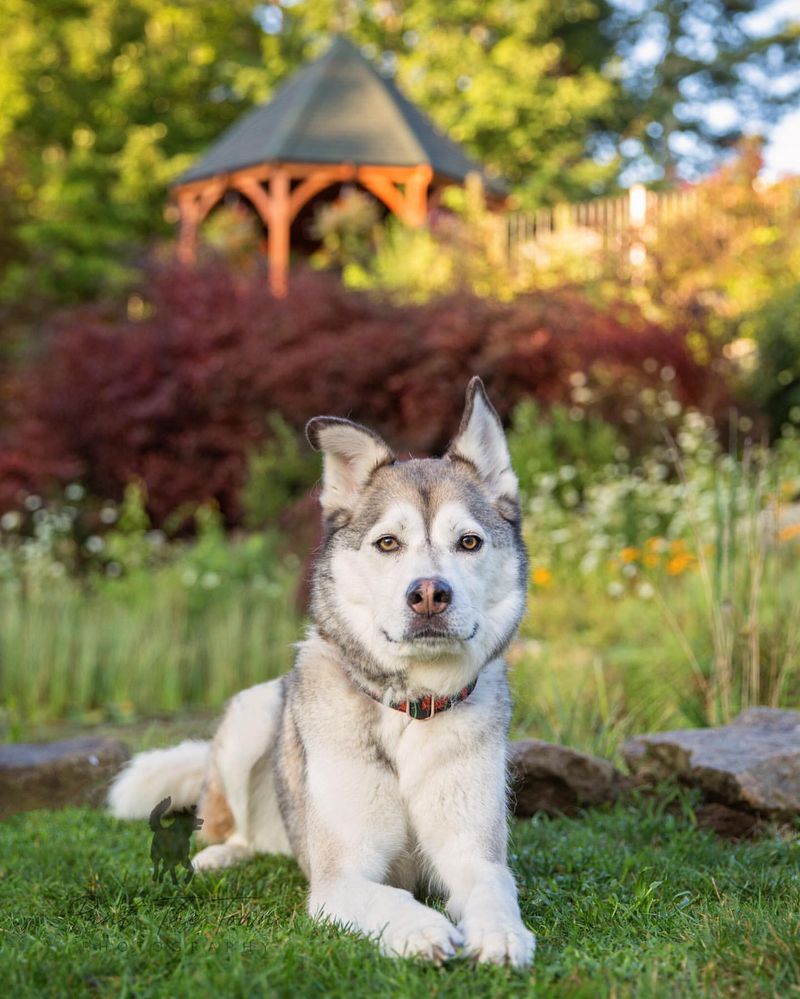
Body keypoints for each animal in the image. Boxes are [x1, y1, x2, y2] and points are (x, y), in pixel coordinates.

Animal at [104, 376, 532, 968]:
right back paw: (220, 856)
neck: (410, 710)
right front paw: (422, 930)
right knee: (234, 828)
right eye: (388, 542)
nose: (428, 594)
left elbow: (496, 888)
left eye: (468, 542)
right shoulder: (340, 879)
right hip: (253, 714)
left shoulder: (472, 854)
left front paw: (503, 934)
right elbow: (391, 897)